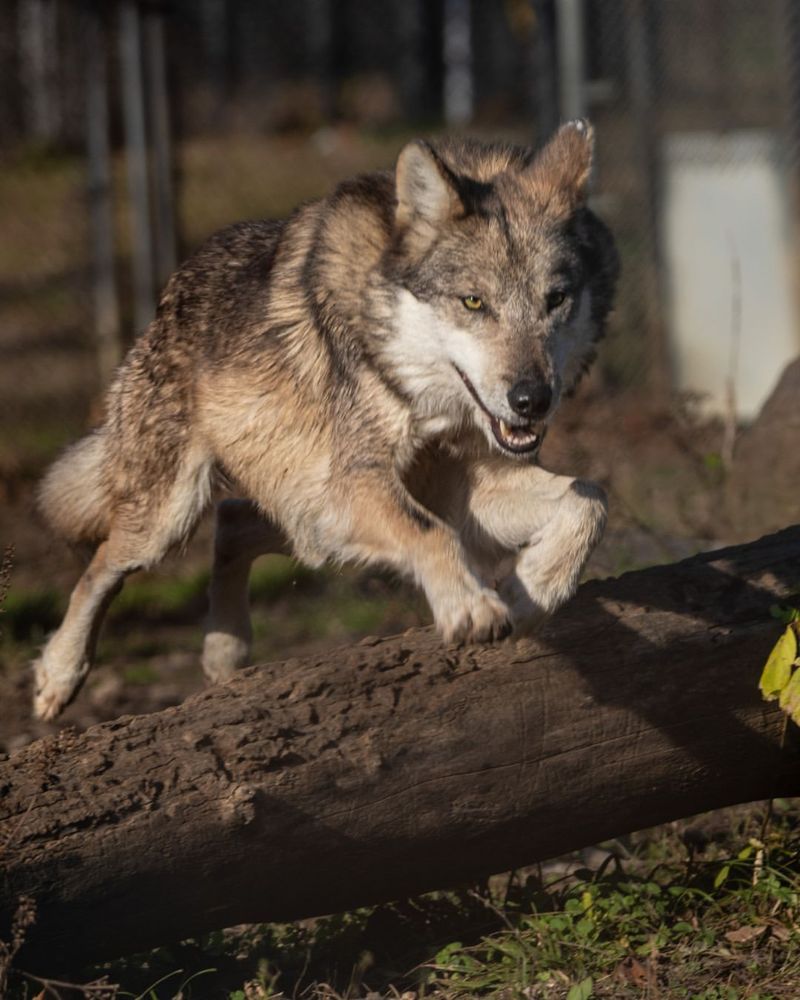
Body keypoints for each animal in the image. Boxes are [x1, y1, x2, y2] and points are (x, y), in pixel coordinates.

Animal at [32, 119, 620, 720]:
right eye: (474, 302)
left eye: (556, 299)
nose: (532, 400)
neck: (425, 401)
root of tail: (166, 297)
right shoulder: (361, 484)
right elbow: (430, 533)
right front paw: (473, 609)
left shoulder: (463, 496)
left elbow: (590, 499)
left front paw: (528, 597)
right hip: (174, 517)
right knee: (101, 566)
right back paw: (59, 675)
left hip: (309, 514)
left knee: (233, 520)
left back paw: (225, 651)